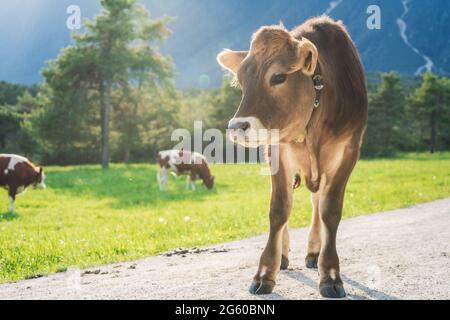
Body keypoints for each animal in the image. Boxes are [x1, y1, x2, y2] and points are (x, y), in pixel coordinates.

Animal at [218, 16, 370, 298]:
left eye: (278, 77)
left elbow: (329, 211)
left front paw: (330, 274)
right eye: (241, 82)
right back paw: (284, 255)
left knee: (317, 203)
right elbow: (279, 210)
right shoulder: (277, 151)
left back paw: (314, 251)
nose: (237, 127)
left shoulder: (349, 152)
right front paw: (265, 272)